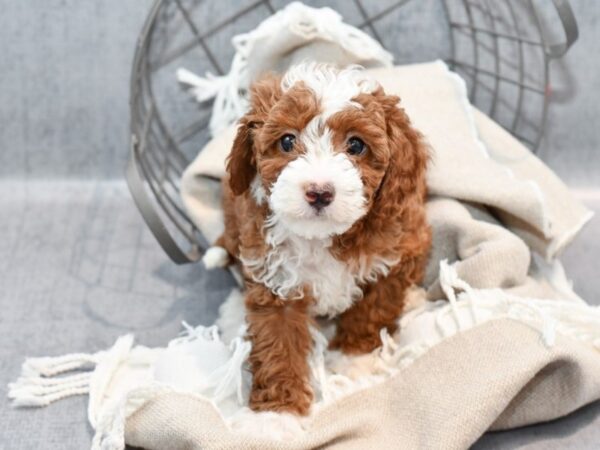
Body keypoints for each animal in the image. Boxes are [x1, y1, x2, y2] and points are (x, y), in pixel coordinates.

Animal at [204, 62, 428, 414]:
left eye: (356, 145)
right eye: (286, 141)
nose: (319, 192)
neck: (322, 237)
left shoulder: (394, 256)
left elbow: (371, 312)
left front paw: (353, 362)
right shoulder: (274, 278)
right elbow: (278, 343)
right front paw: (279, 413)